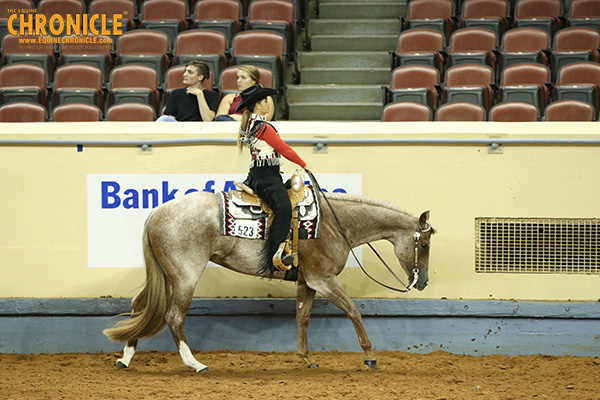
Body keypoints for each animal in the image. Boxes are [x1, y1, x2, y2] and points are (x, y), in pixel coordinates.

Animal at [103, 189, 436, 374]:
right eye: (424, 244)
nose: (423, 282)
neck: (333, 222)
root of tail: (157, 212)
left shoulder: (308, 282)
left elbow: (303, 317)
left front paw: (307, 358)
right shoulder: (324, 279)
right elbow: (353, 310)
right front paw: (370, 357)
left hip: (165, 274)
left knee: (139, 305)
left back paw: (126, 358)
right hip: (185, 275)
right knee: (173, 316)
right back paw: (194, 364)